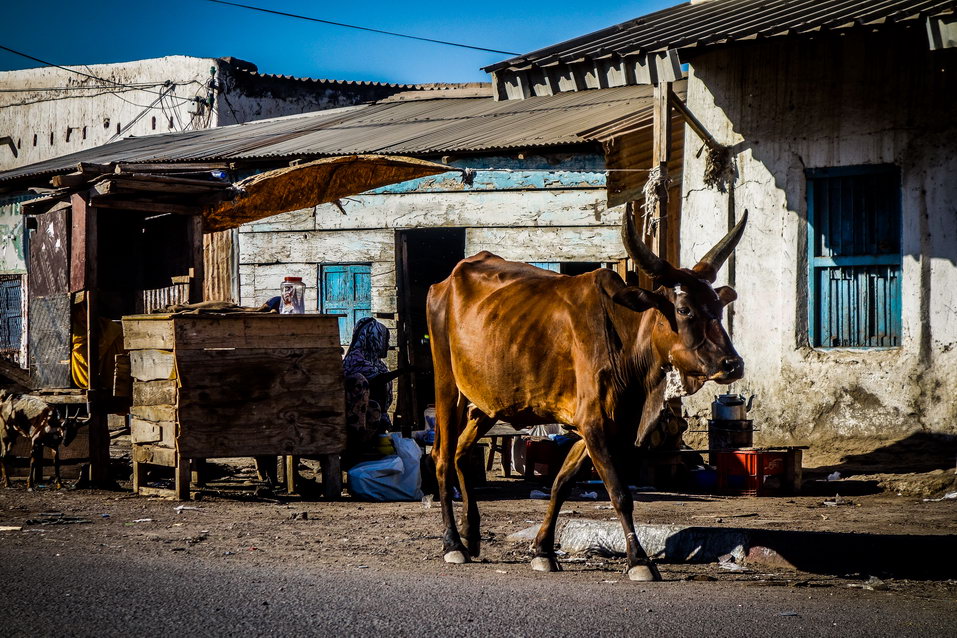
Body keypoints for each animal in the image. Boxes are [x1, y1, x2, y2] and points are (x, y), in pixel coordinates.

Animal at [426, 209, 748, 580]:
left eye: (718, 307)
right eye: (684, 310)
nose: (732, 364)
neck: (624, 338)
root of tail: (444, 282)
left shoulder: (598, 428)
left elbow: (561, 483)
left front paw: (543, 550)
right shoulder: (595, 425)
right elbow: (620, 493)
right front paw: (639, 560)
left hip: (487, 405)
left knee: (462, 453)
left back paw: (471, 535)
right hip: (447, 386)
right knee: (442, 456)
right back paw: (453, 543)